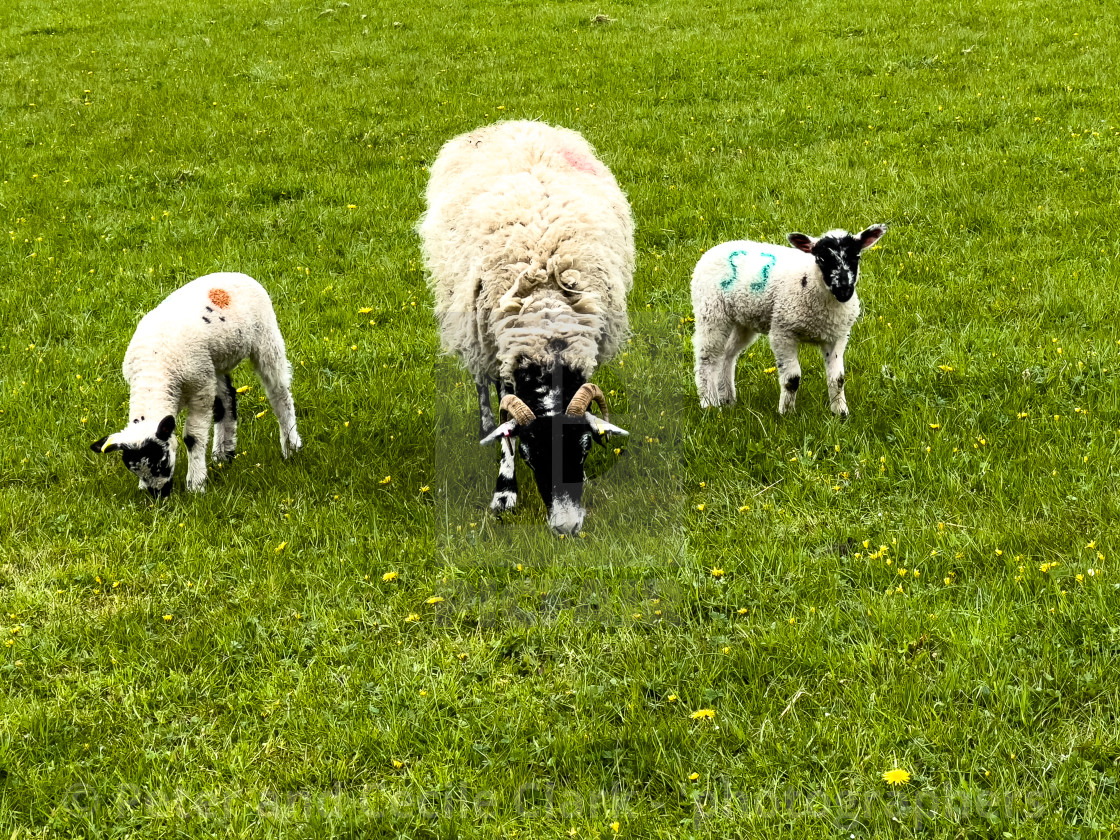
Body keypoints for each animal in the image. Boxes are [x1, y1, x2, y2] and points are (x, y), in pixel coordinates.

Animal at [90, 273, 302, 497]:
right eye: (133, 469)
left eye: (162, 462)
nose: (158, 495)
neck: (154, 375)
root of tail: (236, 274)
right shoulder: (200, 380)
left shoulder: (200, 390)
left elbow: (193, 437)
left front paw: (196, 485)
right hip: (214, 364)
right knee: (227, 401)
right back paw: (223, 454)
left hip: (266, 339)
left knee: (279, 393)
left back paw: (290, 446)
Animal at [418, 121, 636, 535]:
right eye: (532, 455)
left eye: (584, 447)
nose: (567, 527)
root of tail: (511, 124)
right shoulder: (502, 350)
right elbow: (506, 425)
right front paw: (505, 492)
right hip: (474, 331)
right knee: (480, 384)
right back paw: (484, 424)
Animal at [685, 227, 887, 418]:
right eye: (821, 259)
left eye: (857, 256)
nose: (844, 290)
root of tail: (714, 249)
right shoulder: (782, 332)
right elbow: (792, 378)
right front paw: (787, 414)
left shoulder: (837, 336)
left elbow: (837, 379)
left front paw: (840, 413)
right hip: (711, 311)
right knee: (707, 359)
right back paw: (709, 404)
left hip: (743, 319)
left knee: (727, 355)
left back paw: (727, 399)